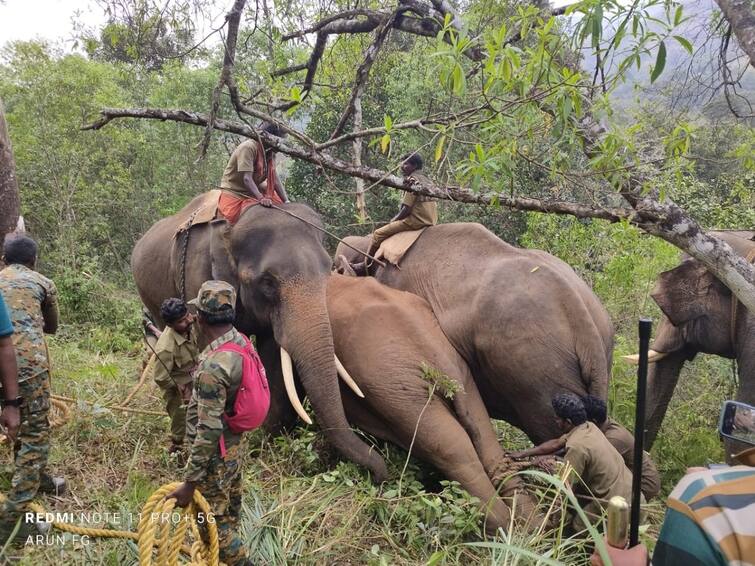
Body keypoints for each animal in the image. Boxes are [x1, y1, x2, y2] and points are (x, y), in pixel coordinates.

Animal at [130, 197, 386, 486]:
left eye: (327, 270)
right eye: (267, 282)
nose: (381, 474)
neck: (236, 222)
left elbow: (273, 354)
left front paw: (270, 441)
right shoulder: (199, 279)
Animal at [328, 274, 540, 532]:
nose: (379, 479)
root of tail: (443, 368)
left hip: (403, 391)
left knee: (450, 448)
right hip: (461, 377)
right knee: (486, 444)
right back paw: (533, 527)